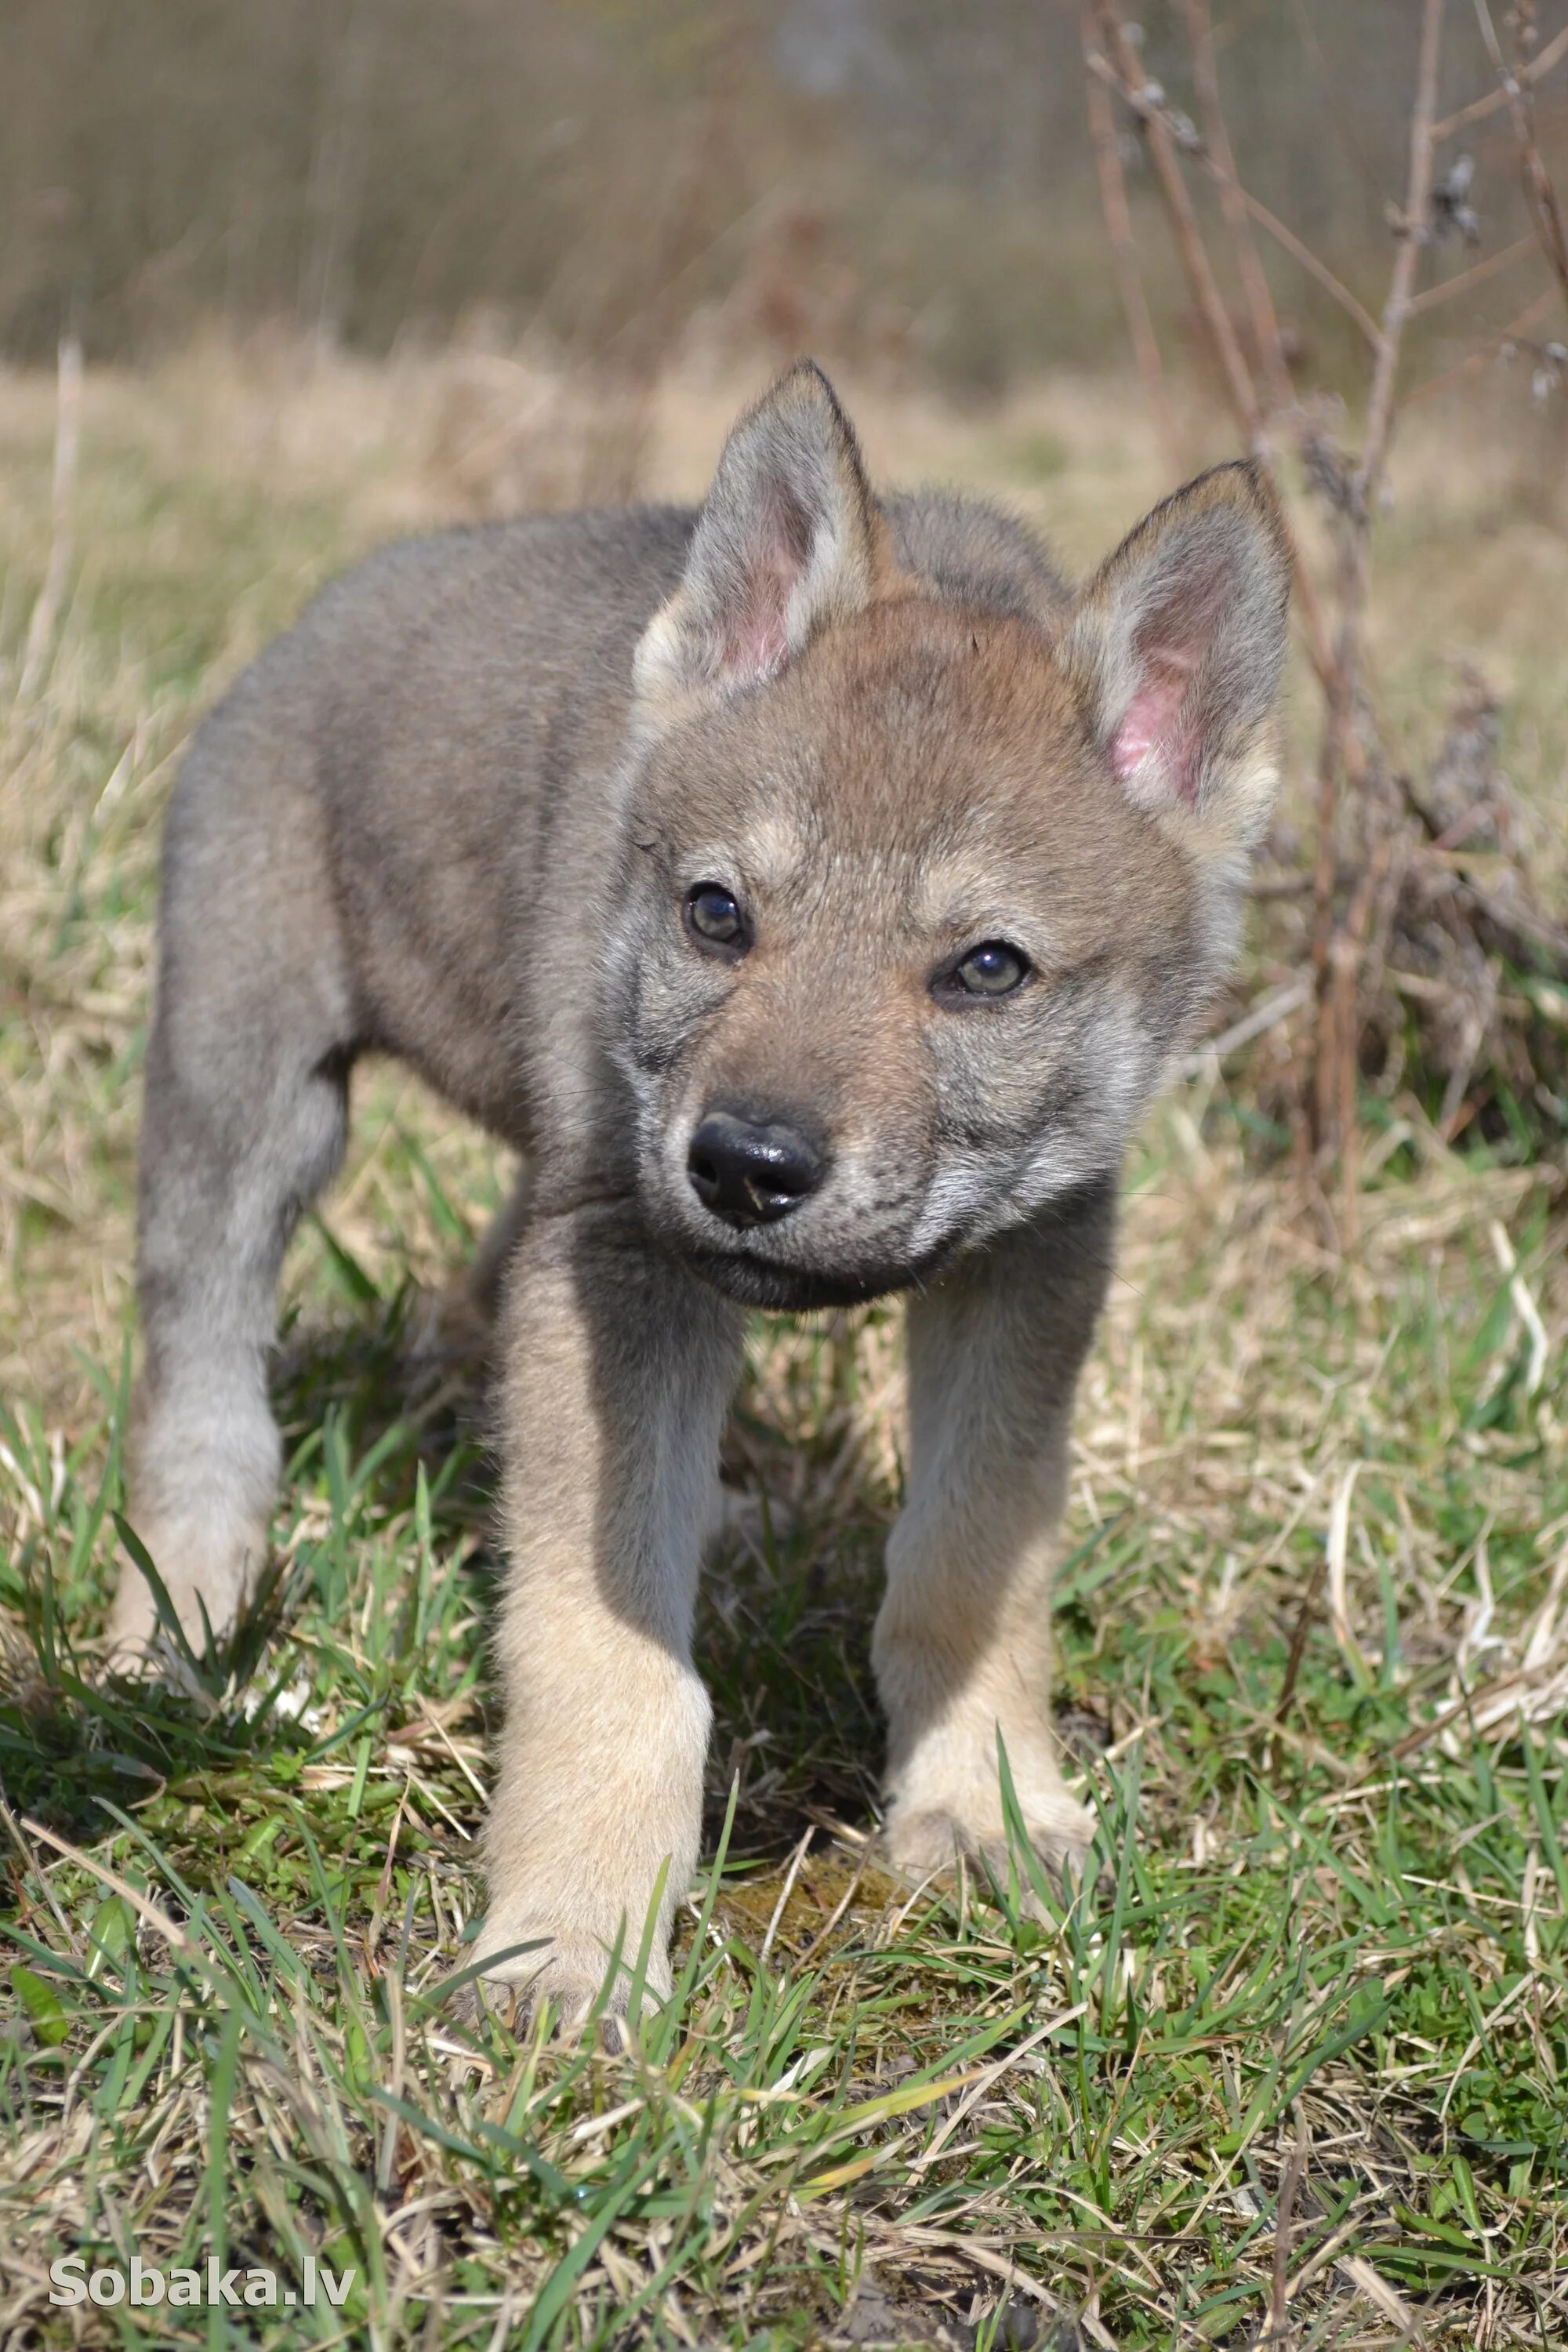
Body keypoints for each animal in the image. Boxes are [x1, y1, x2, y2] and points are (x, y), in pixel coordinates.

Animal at [110, 362, 1288, 2023]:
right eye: (717, 914)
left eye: (987, 969)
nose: (742, 1167)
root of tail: (306, 622)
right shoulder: (620, 1257)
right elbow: (608, 1652)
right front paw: (570, 1938)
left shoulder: (1035, 1259)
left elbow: (969, 1559)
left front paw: (984, 1804)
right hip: (251, 1100)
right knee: (200, 1396)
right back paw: (174, 1636)